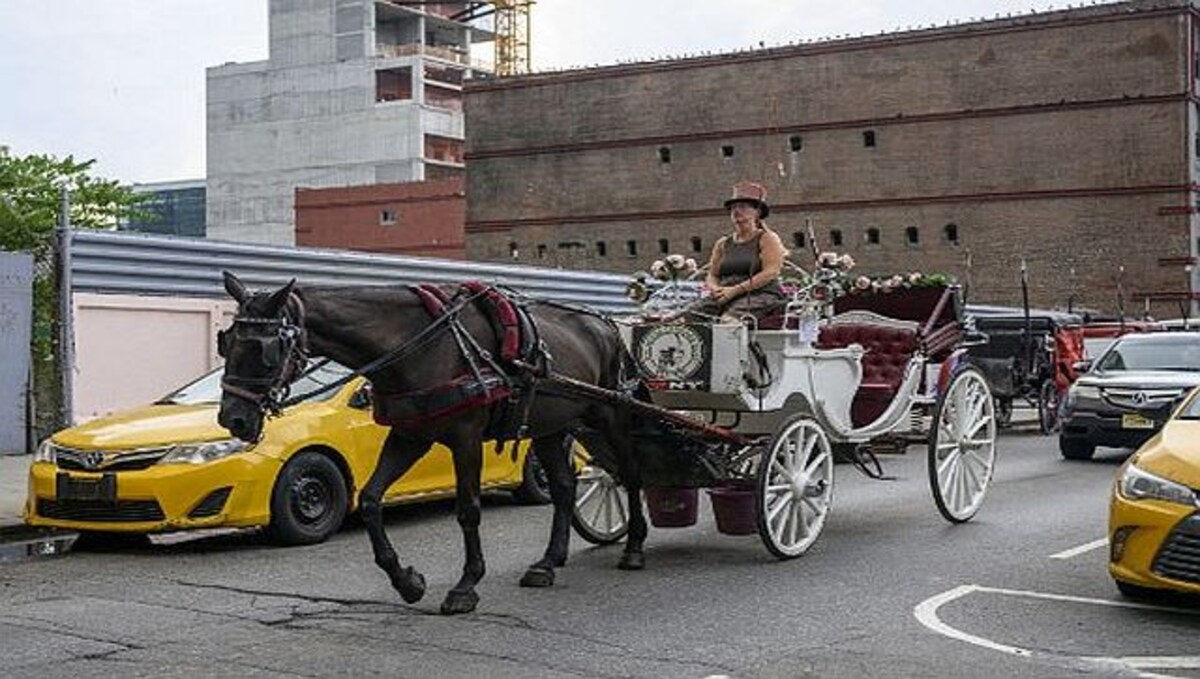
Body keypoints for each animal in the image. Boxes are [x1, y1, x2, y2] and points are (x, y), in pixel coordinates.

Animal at [216, 271, 648, 619]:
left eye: (264, 350)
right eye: (226, 342)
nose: (232, 420)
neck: (418, 346)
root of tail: (606, 325)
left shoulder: (466, 438)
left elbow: (468, 509)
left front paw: (466, 584)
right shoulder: (410, 435)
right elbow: (370, 500)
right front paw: (407, 581)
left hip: (611, 415)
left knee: (629, 474)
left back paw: (634, 547)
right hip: (550, 426)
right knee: (563, 487)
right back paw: (548, 562)